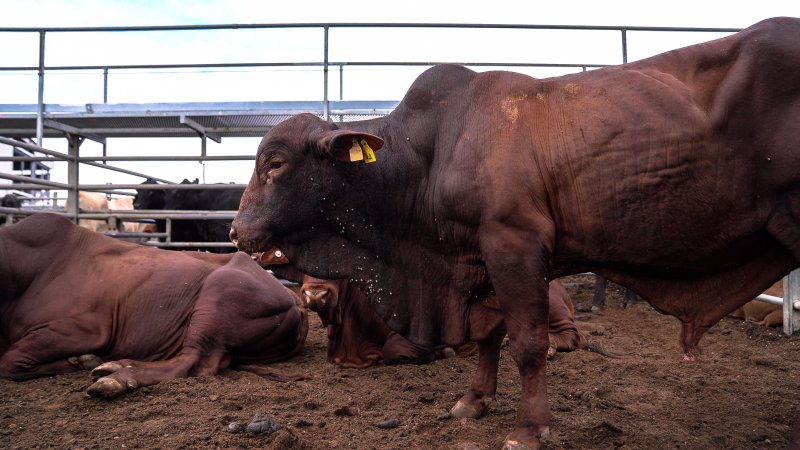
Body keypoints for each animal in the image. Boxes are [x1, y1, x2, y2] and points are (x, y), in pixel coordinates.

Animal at [0, 213, 308, 400]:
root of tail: (291, 296)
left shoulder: (82, 329)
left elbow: (9, 361)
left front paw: (80, 360)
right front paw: (84, 360)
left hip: (217, 298)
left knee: (190, 363)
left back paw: (117, 378)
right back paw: (113, 365)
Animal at [228, 15, 800, 448]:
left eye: (274, 163)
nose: (234, 231)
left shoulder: (514, 245)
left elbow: (527, 341)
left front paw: (529, 428)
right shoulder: (479, 258)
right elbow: (488, 336)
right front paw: (475, 399)